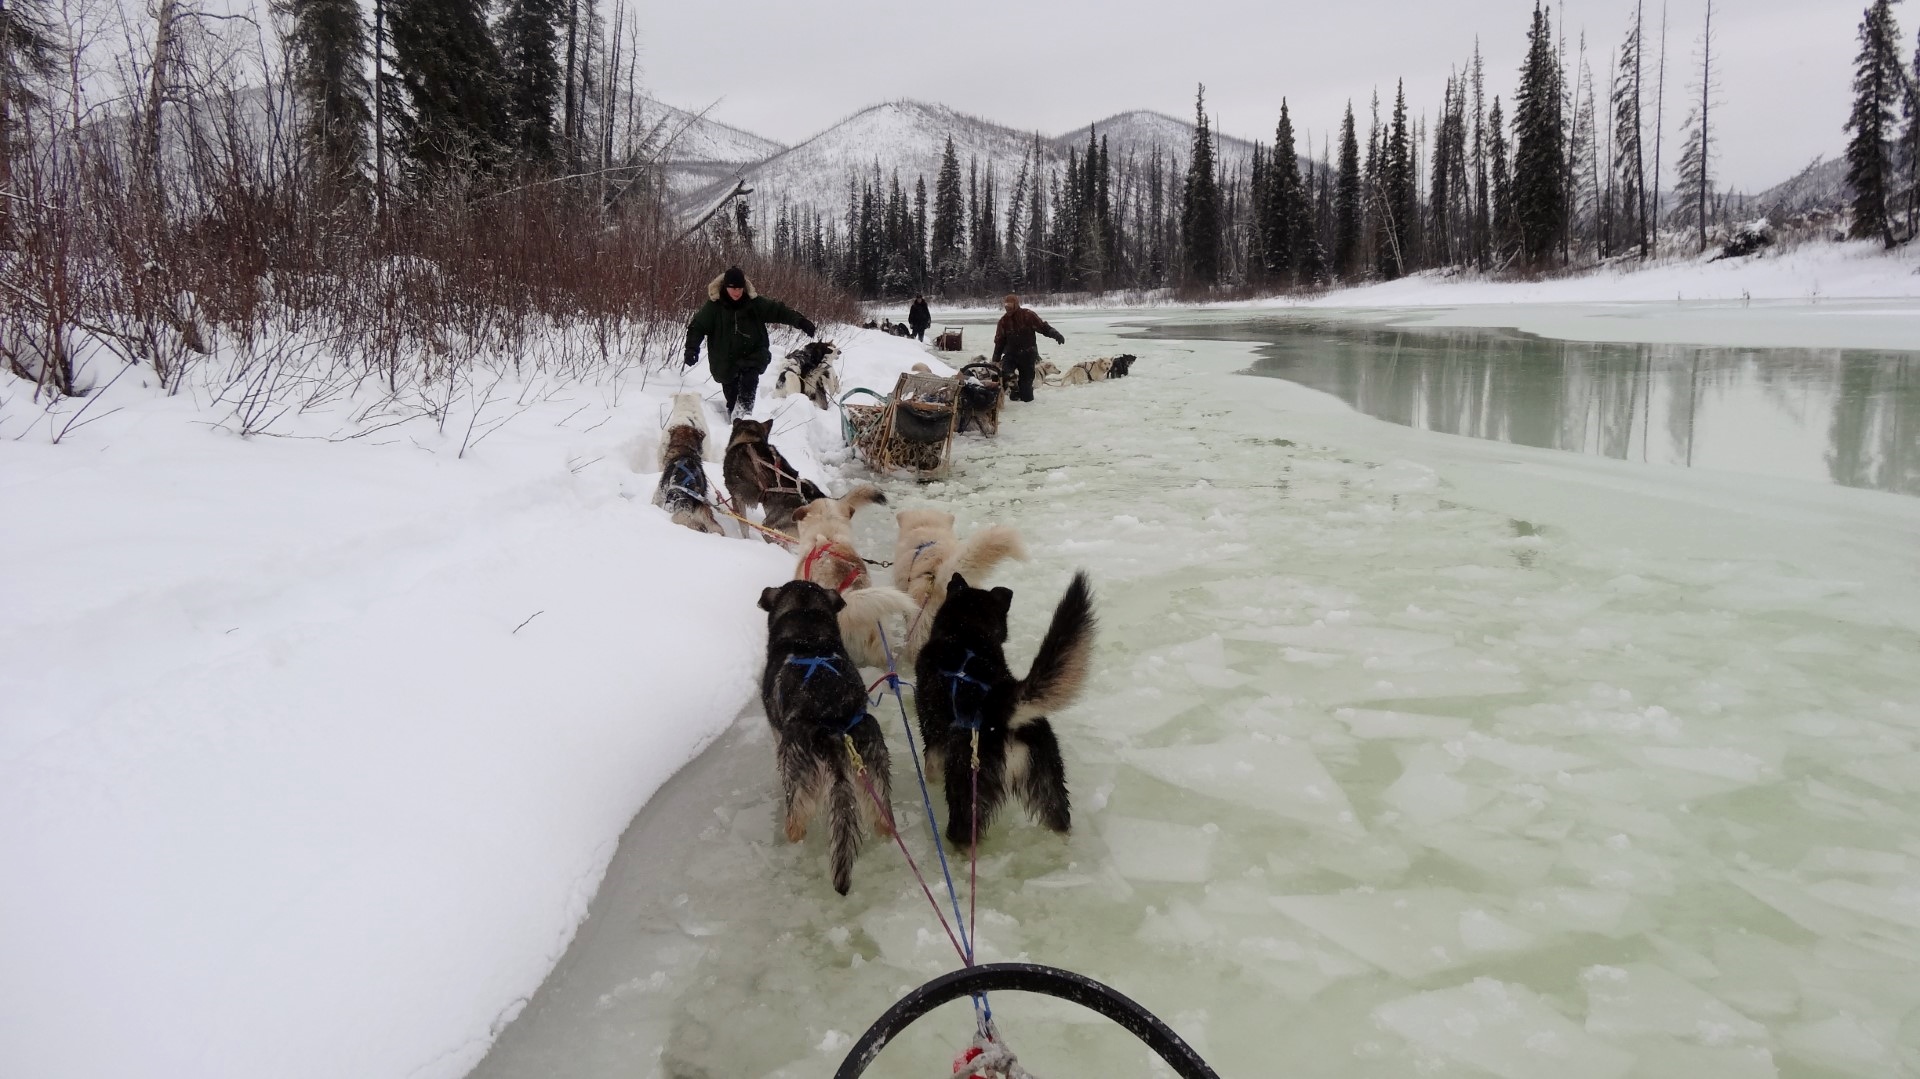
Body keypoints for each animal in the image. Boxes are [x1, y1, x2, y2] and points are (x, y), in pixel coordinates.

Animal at [756, 579, 890, 890]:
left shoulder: (778, 734)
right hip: (875, 767)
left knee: (795, 824)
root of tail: (833, 723)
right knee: (883, 819)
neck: (807, 632)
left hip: (797, 775)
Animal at [913, 568, 1098, 844]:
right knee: (1060, 824)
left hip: (965, 790)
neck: (966, 632)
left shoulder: (933, 740)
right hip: (1050, 788)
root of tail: (1003, 707)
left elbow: (930, 769)